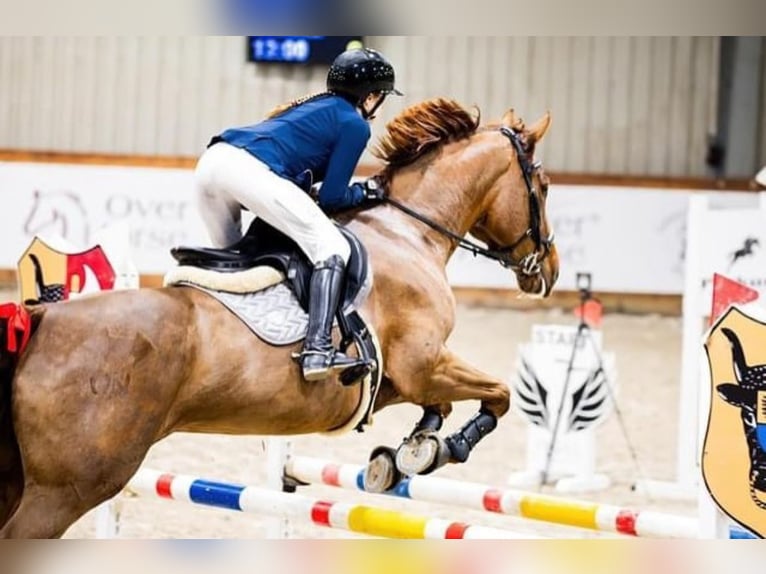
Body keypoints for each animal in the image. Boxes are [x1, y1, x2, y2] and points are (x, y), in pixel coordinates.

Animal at [0, 98, 560, 540]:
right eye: (545, 186)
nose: (549, 271)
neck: (407, 232)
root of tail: (42, 318)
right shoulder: (422, 364)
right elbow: (498, 395)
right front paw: (438, 449)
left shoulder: (399, 381)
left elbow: (442, 405)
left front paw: (408, 450)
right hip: (70, 487)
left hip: (19, 479)